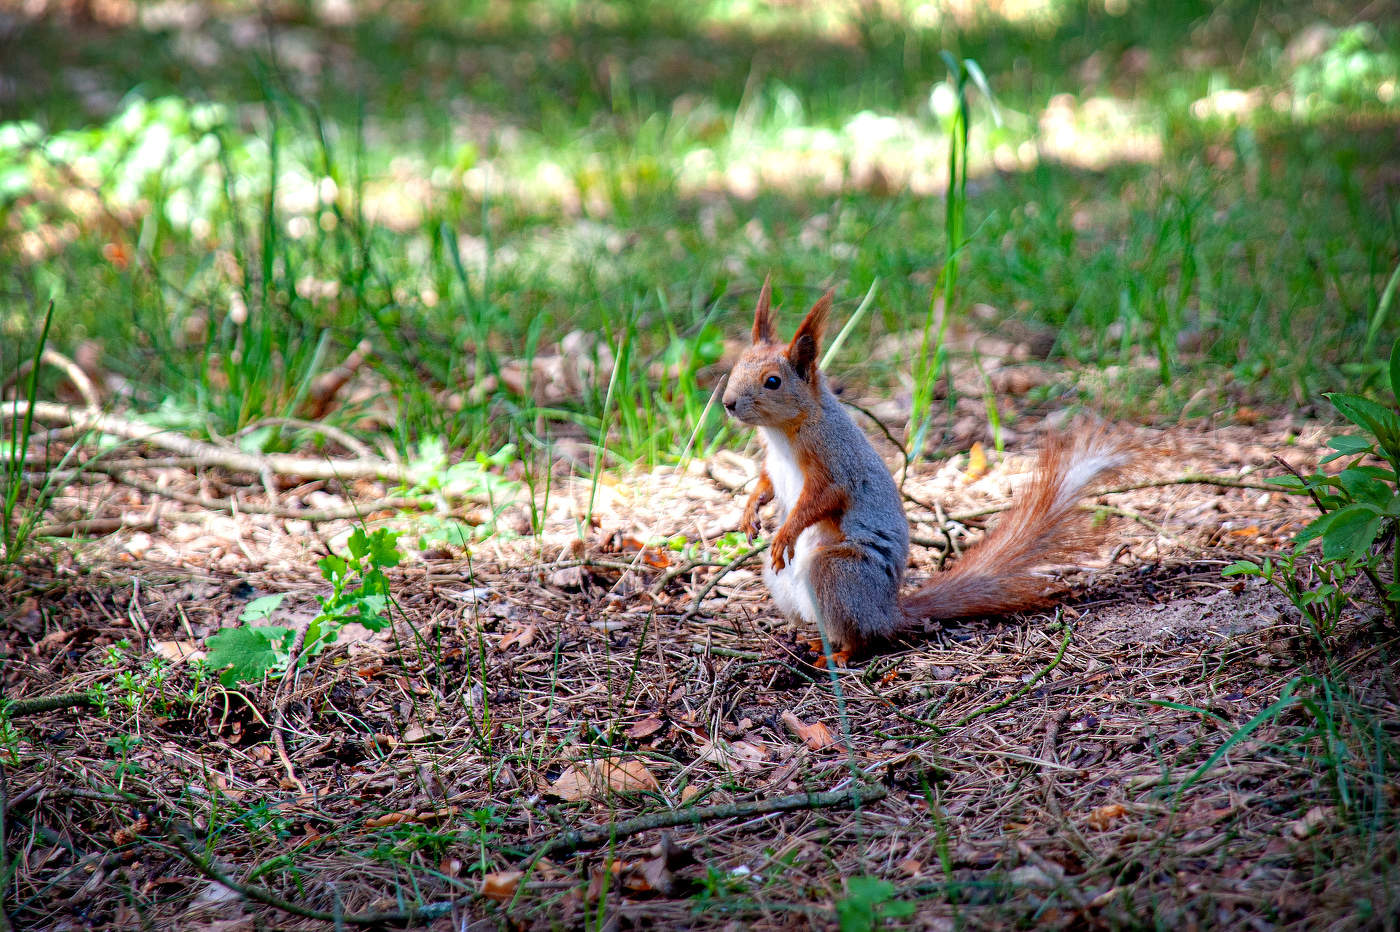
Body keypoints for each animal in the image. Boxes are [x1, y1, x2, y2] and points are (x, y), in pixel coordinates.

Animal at [722, 279, 1136, 657]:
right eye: (737, 365)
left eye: (772, 382)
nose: (727, 403)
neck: (781, 433)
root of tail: (889, 612)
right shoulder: (772, 462)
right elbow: (765, 482)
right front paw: (749, 511)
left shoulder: (835, 461)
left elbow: (823, 497)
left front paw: (785, 532)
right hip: (781, 584)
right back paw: (813, 641)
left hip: (836, 571)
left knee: (863, 638)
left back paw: (838, 654)